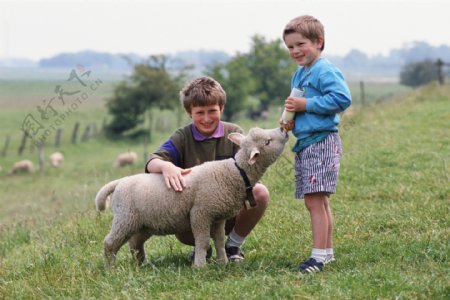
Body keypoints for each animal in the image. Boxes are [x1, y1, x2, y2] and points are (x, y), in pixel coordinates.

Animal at [95, 127, 288, 268]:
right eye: (268, 142)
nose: (283, 130)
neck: (235, 172)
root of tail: (119, 182)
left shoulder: (217, 217)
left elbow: (219, 241)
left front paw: (223, 262)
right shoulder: (201, 213)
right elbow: (202, 241)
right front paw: (200, 266)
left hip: (144, 224)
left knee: (135, 243)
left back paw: (142, 265)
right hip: (125, 218)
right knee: (110, 243)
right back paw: (111, 269)